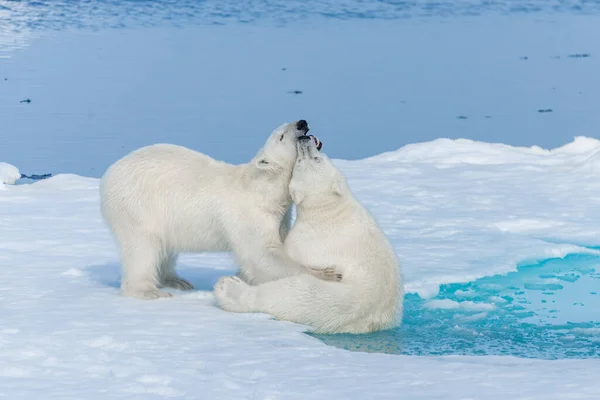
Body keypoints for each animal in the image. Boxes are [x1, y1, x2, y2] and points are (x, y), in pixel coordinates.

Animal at [101, 120, 340, 298]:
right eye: (281, 135)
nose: (302, 122)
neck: (263, 189)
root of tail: (108, 175)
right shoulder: (250, 216)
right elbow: (262, 255)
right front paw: (329, 274)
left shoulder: (280, 216)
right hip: (137, 207)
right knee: (143, 247)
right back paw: (148, 291)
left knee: (165, 248)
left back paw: (177, 280)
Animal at [213, 135, 406, 334]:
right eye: (299, 161)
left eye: (315, 159)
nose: (305, 139)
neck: (329, 208)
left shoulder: (308, 238)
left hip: (325, 296)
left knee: (286, 294)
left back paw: (228, 287)